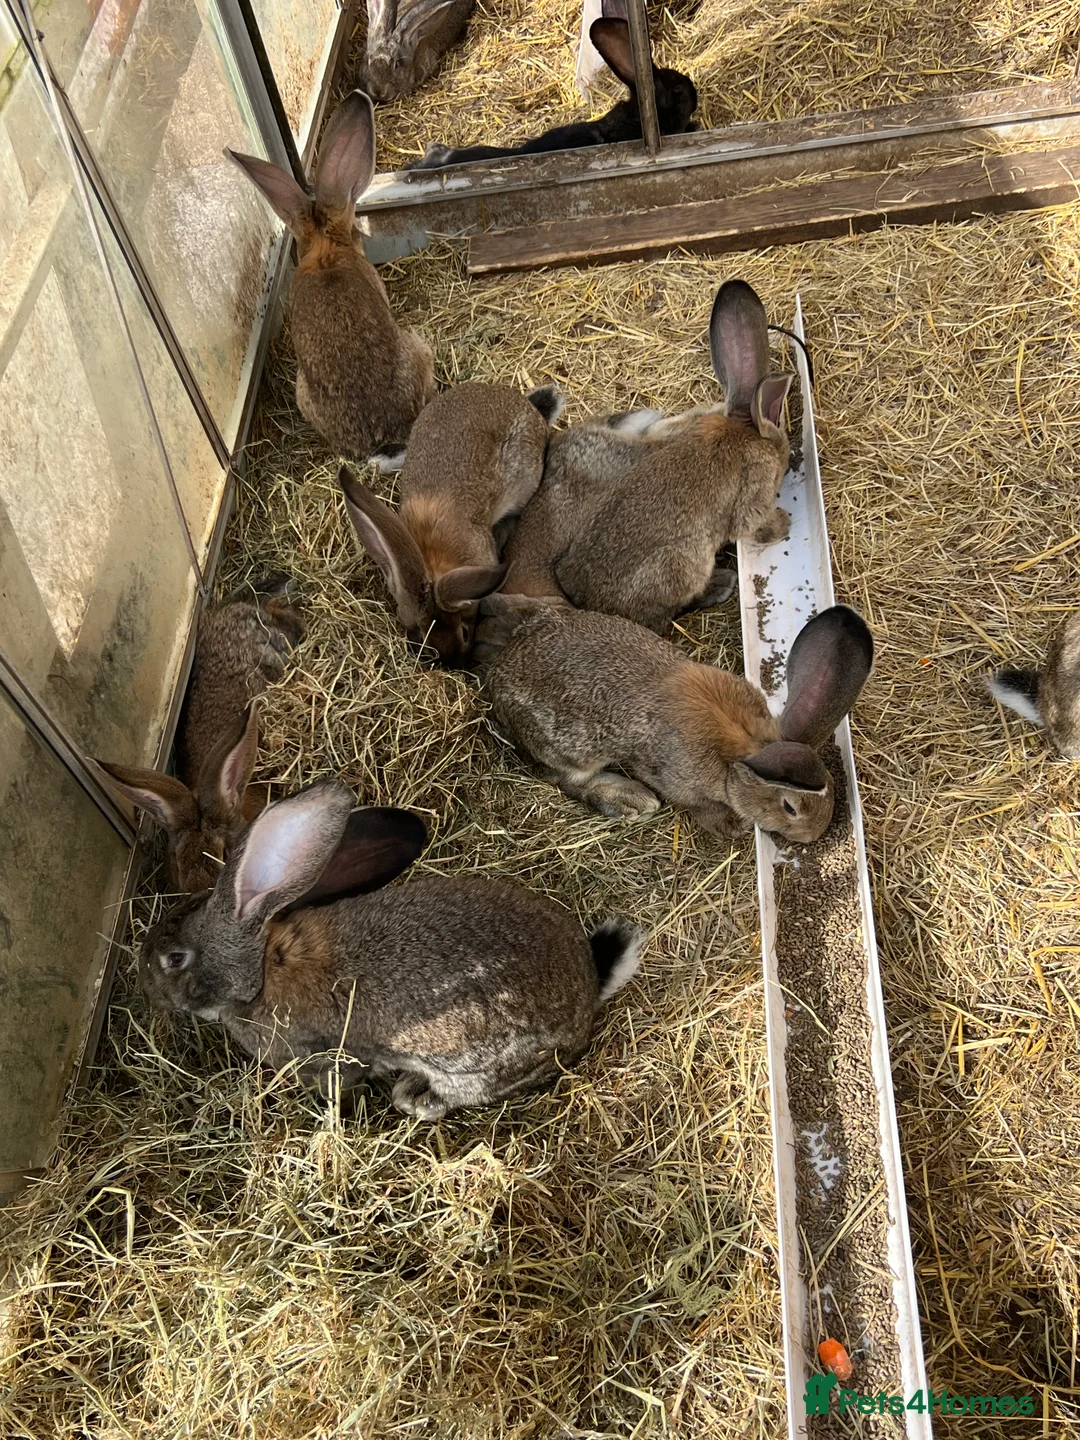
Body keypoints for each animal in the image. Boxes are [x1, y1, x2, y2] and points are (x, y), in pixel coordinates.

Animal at [140, 778, 644, 1118]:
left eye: (174, 959)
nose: (146, 981)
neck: (263, 970)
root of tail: (589, 992)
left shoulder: (326, 1056)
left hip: (476, 1072)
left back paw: (413, 1097)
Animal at [479, 600, 873, 843]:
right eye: (790, 808)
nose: (813, 835)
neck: (740, 754)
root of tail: (498, 672)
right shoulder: (673, 778)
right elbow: (697, 805)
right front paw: (731, 825)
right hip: (570, 752)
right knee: (567, 781)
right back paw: (632, 799)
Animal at [552, 279, 795, 635]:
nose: (789, 462)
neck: (744, 431)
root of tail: (586, 602)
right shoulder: (753, 489)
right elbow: (751, 524)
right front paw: (783, 522)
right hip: (683, 565)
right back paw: (721, 584)